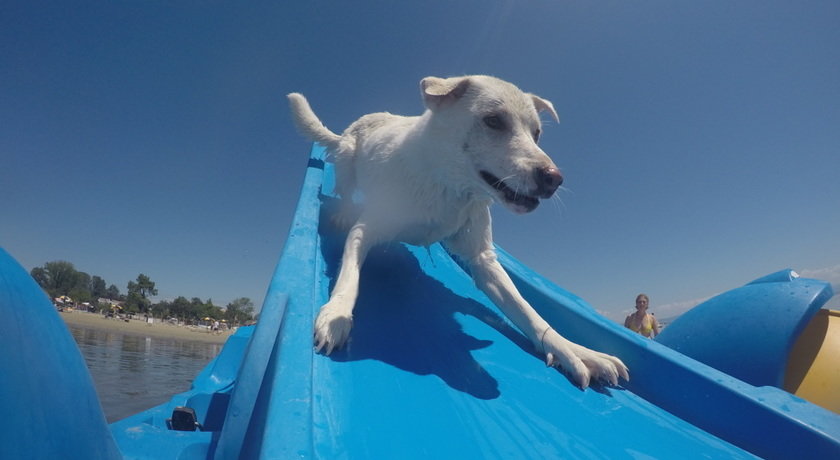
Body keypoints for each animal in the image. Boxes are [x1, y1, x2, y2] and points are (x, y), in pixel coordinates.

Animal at [286, 76, 628, 388]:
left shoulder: (484, 262)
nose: (553, 179)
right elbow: (350, 277)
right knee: (344, 188)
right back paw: (343, 210)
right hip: (346, 157)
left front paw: (574, 351)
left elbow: (529, 313)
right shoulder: (364, 231)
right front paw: (337, 315)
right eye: (494, 121)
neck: (447, 186)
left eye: (537, 134)